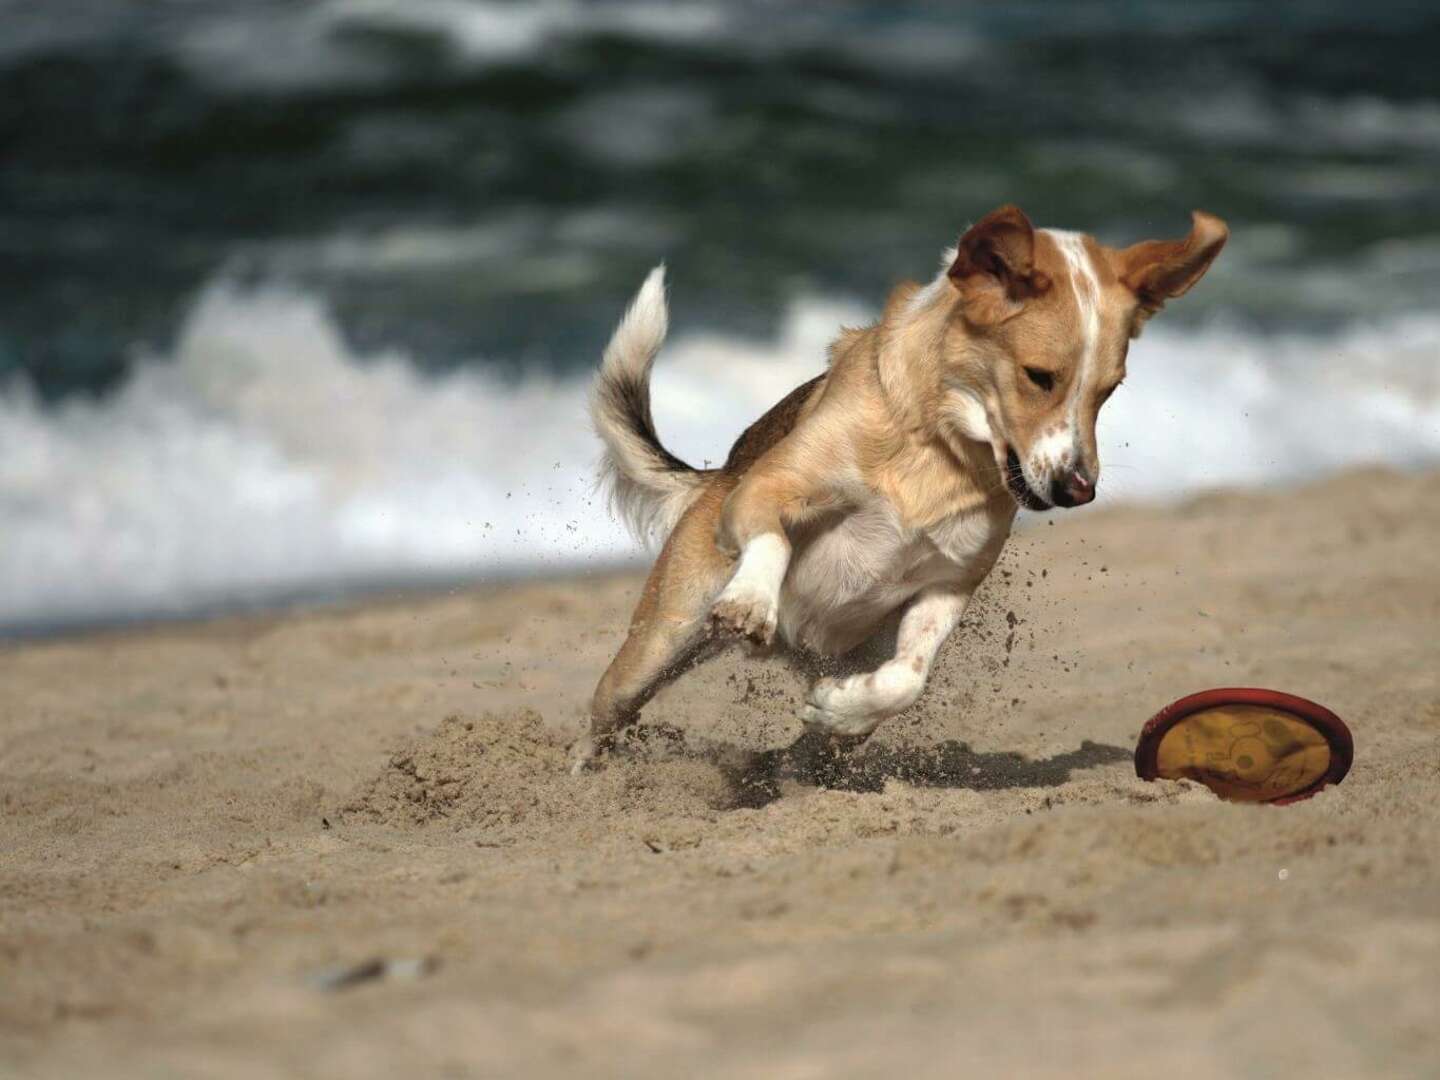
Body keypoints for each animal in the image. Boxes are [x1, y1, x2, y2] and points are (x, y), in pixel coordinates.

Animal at [573, 204, 1226, 777]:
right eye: (1039, 377)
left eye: (1109, 390)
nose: (1078, 490)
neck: (939, 445)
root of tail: (717, 475)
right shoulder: (770, 485)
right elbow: (774, 537)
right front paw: (753, 599)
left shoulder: (947, 584)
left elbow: (906, 678)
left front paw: (840, 708)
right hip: (661, 638)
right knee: (605, 712)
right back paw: (584, 776)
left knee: (831, 730)